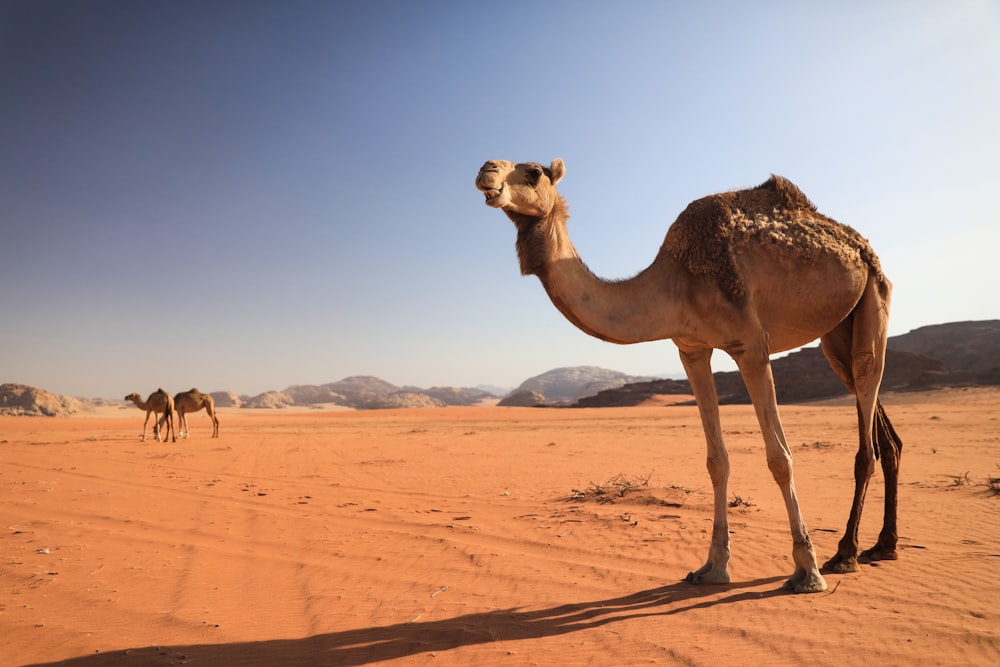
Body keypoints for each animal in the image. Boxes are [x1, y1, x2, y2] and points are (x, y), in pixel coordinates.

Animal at [472, 158, 904, 596]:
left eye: (533, 173)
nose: (486, 171)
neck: (675, 281)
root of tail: (861, 245)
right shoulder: (691, 349)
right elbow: (717, 461)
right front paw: (712, 568)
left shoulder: (751, 345)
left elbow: (779, 458)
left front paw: (806, 571)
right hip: (837, 333)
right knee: (880, 427)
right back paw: (882, 546)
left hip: (875, 294)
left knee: (866, 409)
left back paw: (845, 554)